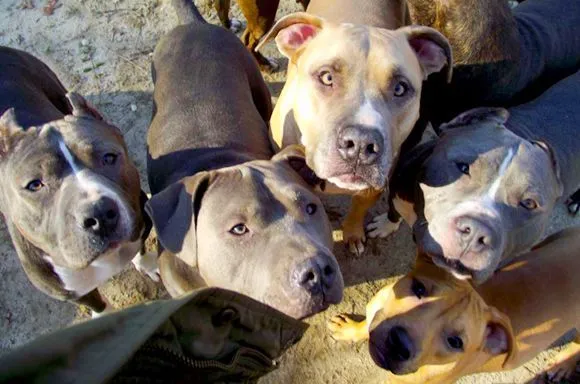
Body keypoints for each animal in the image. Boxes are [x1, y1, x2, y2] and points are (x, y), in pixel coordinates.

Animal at [0, 45, 157, 316]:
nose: (100, 214)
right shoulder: (71, 293)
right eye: (34, 185)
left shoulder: (140, 223)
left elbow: (142, 248)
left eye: (109, 157)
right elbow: (97, 304)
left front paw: (150, 266)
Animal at [255, 0, 454, 255]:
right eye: (327, 77)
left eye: (400, 88)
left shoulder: (375, 186)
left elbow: (358, 209)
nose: (361, 143)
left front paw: (353, 234)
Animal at [326, 226, 580, 382]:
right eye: (419, 288)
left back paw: (563, 365)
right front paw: (350, 330)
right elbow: (366, 325)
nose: (398, 344)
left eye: (455, 342)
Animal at [370, 70, 580, 284]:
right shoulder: (396, 194)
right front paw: (385, 226)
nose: (477, 232)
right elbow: (393, 213)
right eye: (463, 167)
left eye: (529, 203)